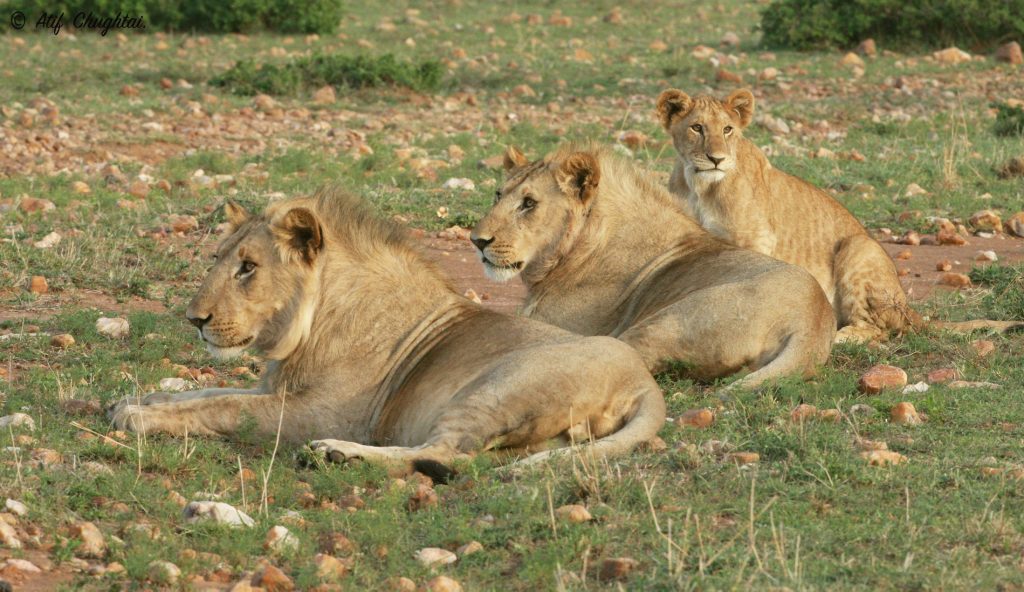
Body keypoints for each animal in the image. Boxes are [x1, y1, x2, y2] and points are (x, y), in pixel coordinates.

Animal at [105, 186, 663, 467]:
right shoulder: (275, 388)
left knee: (447, 456)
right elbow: (206, 393)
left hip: (495, 388)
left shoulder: (321, 412)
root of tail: (645, 384)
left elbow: (221, 409)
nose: (194, 319)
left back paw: (339, 455)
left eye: (248, 268)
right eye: (218, 258)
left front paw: (136, 417)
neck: (307, 328)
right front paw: (140, 400)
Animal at [655, 87, 1024, 340]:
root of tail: (908, 306)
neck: (700, 186)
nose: (716, 158)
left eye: (728, 129)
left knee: (880, 330)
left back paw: (841, 335)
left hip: (858, 247)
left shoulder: (755, 240)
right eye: (697, 128)